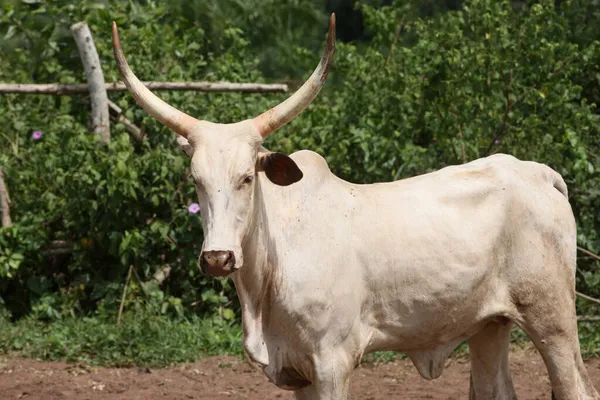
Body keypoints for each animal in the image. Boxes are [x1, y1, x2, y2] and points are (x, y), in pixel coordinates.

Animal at [110, 14, 596, 398]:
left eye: (247, 177)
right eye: (197, 180)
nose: (217, 257)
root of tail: (537, 173)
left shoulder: (332, 363)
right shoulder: (298, 374)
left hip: (552, 318)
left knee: (576, 386)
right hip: (488, 326)